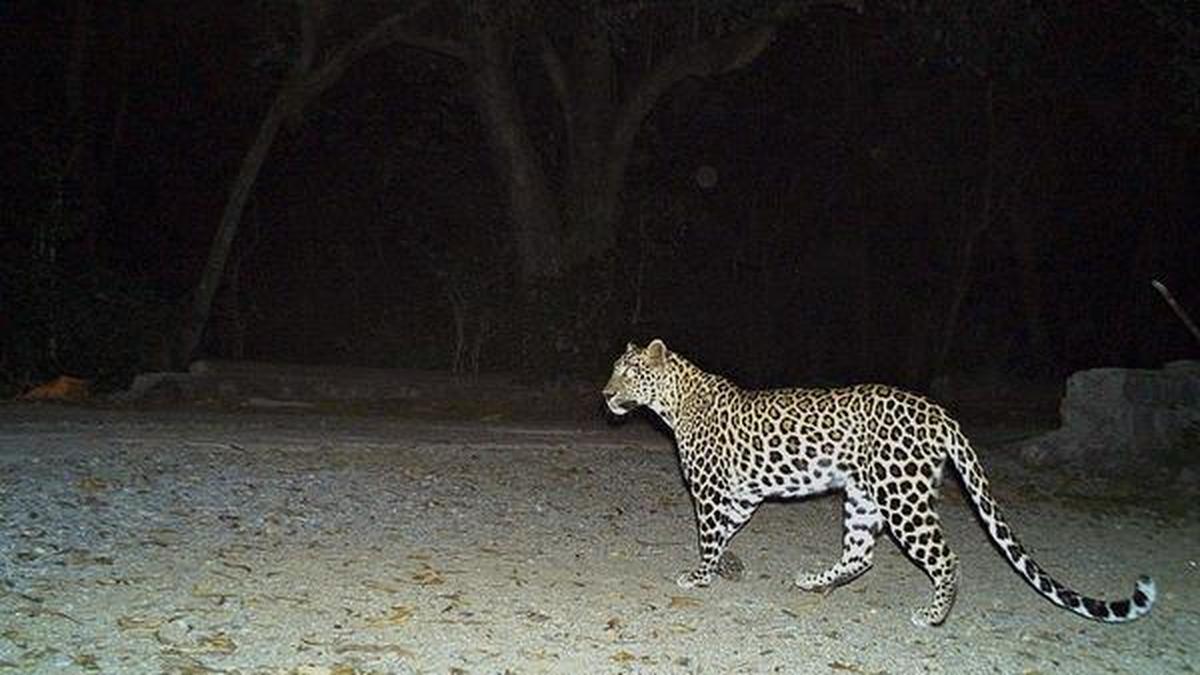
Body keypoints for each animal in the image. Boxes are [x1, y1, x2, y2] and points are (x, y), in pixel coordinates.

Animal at [602, 339, 1157, 626]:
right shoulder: (742, 496)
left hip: (901, 498)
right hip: (864, 496)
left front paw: (699, 576)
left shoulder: (711, 492)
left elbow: (708, 536)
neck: (674, 402)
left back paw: (932, 615)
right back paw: (814, 581)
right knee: (861, 554)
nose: (605, 394)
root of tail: (938, 411)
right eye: (614, 371)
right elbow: (725, 534)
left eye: (628, 373)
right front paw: (722, 568)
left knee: (945, 557)